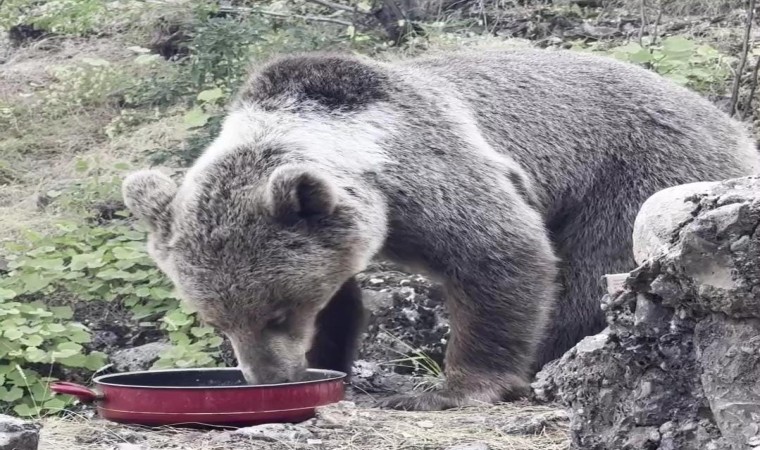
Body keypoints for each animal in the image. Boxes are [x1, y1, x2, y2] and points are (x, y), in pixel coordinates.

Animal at [120, 49, 760, 412]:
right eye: (216, 320)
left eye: (277, 312)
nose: (269, 378)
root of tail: (727, 120)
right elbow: (343, 299)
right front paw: (332, 359)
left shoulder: (430, 171)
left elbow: (499, 252)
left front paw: (449, 389)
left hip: (638, 176)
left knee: (590, 277)